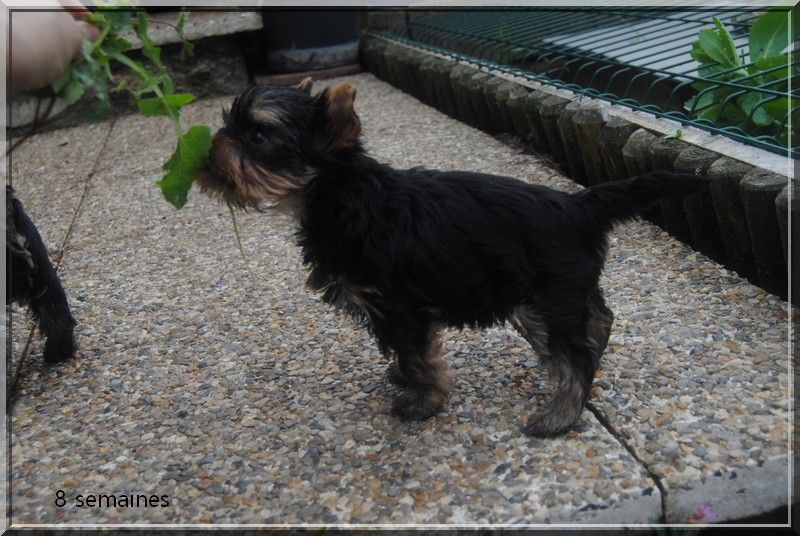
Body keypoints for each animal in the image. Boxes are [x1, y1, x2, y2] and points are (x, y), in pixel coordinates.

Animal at [198, 80, 708, 440]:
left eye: (258, 135)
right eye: (229, 123)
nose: (207, 149)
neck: (341, 193)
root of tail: (579, 206)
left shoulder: (399, 307)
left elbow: (416, 354)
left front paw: (423, 402)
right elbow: (409, 354)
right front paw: (405, 380)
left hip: (548, 295)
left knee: (575, 351)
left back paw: (559, 414)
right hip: (558, 289)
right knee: (598, 319)